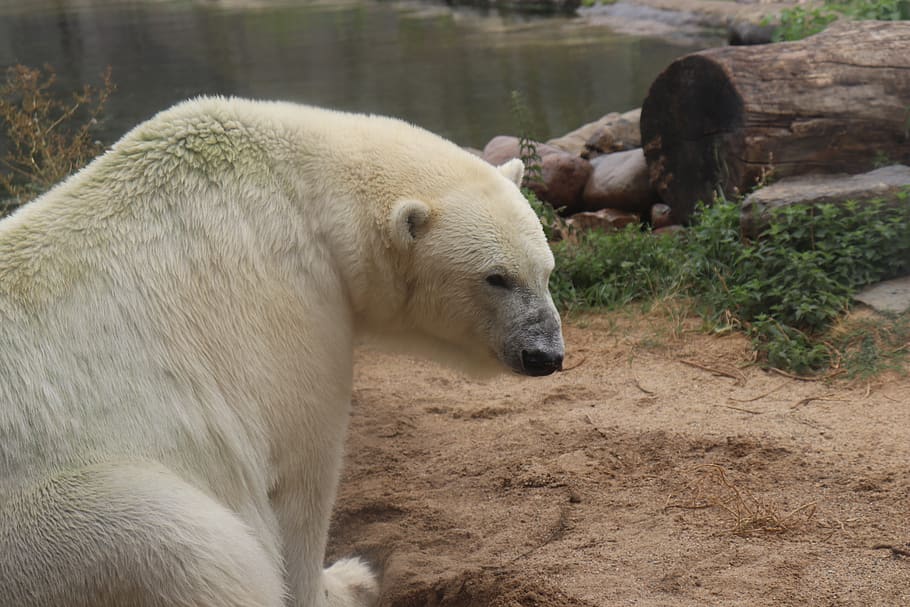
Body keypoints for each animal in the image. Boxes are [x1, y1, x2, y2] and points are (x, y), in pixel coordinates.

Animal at [0, 97, 564, 604]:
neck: (299, 189)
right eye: (496, 277)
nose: (546, 355)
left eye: (546, 269)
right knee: (189, 548)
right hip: (69, 523)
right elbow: (300, 479)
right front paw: (347, 582)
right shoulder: (289, 311)